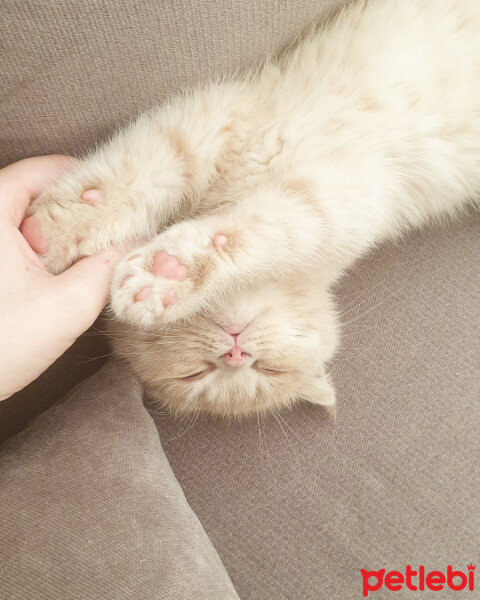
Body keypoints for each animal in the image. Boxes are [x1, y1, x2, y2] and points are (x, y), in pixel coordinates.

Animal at [22, 0, 480, 414]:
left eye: (268, 371)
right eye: (194, 374)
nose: (236, 354)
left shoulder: (336, 200)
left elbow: (257, 232)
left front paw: (168, 274)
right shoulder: (217, 120)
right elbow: (140, 169)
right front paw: (53, 228)